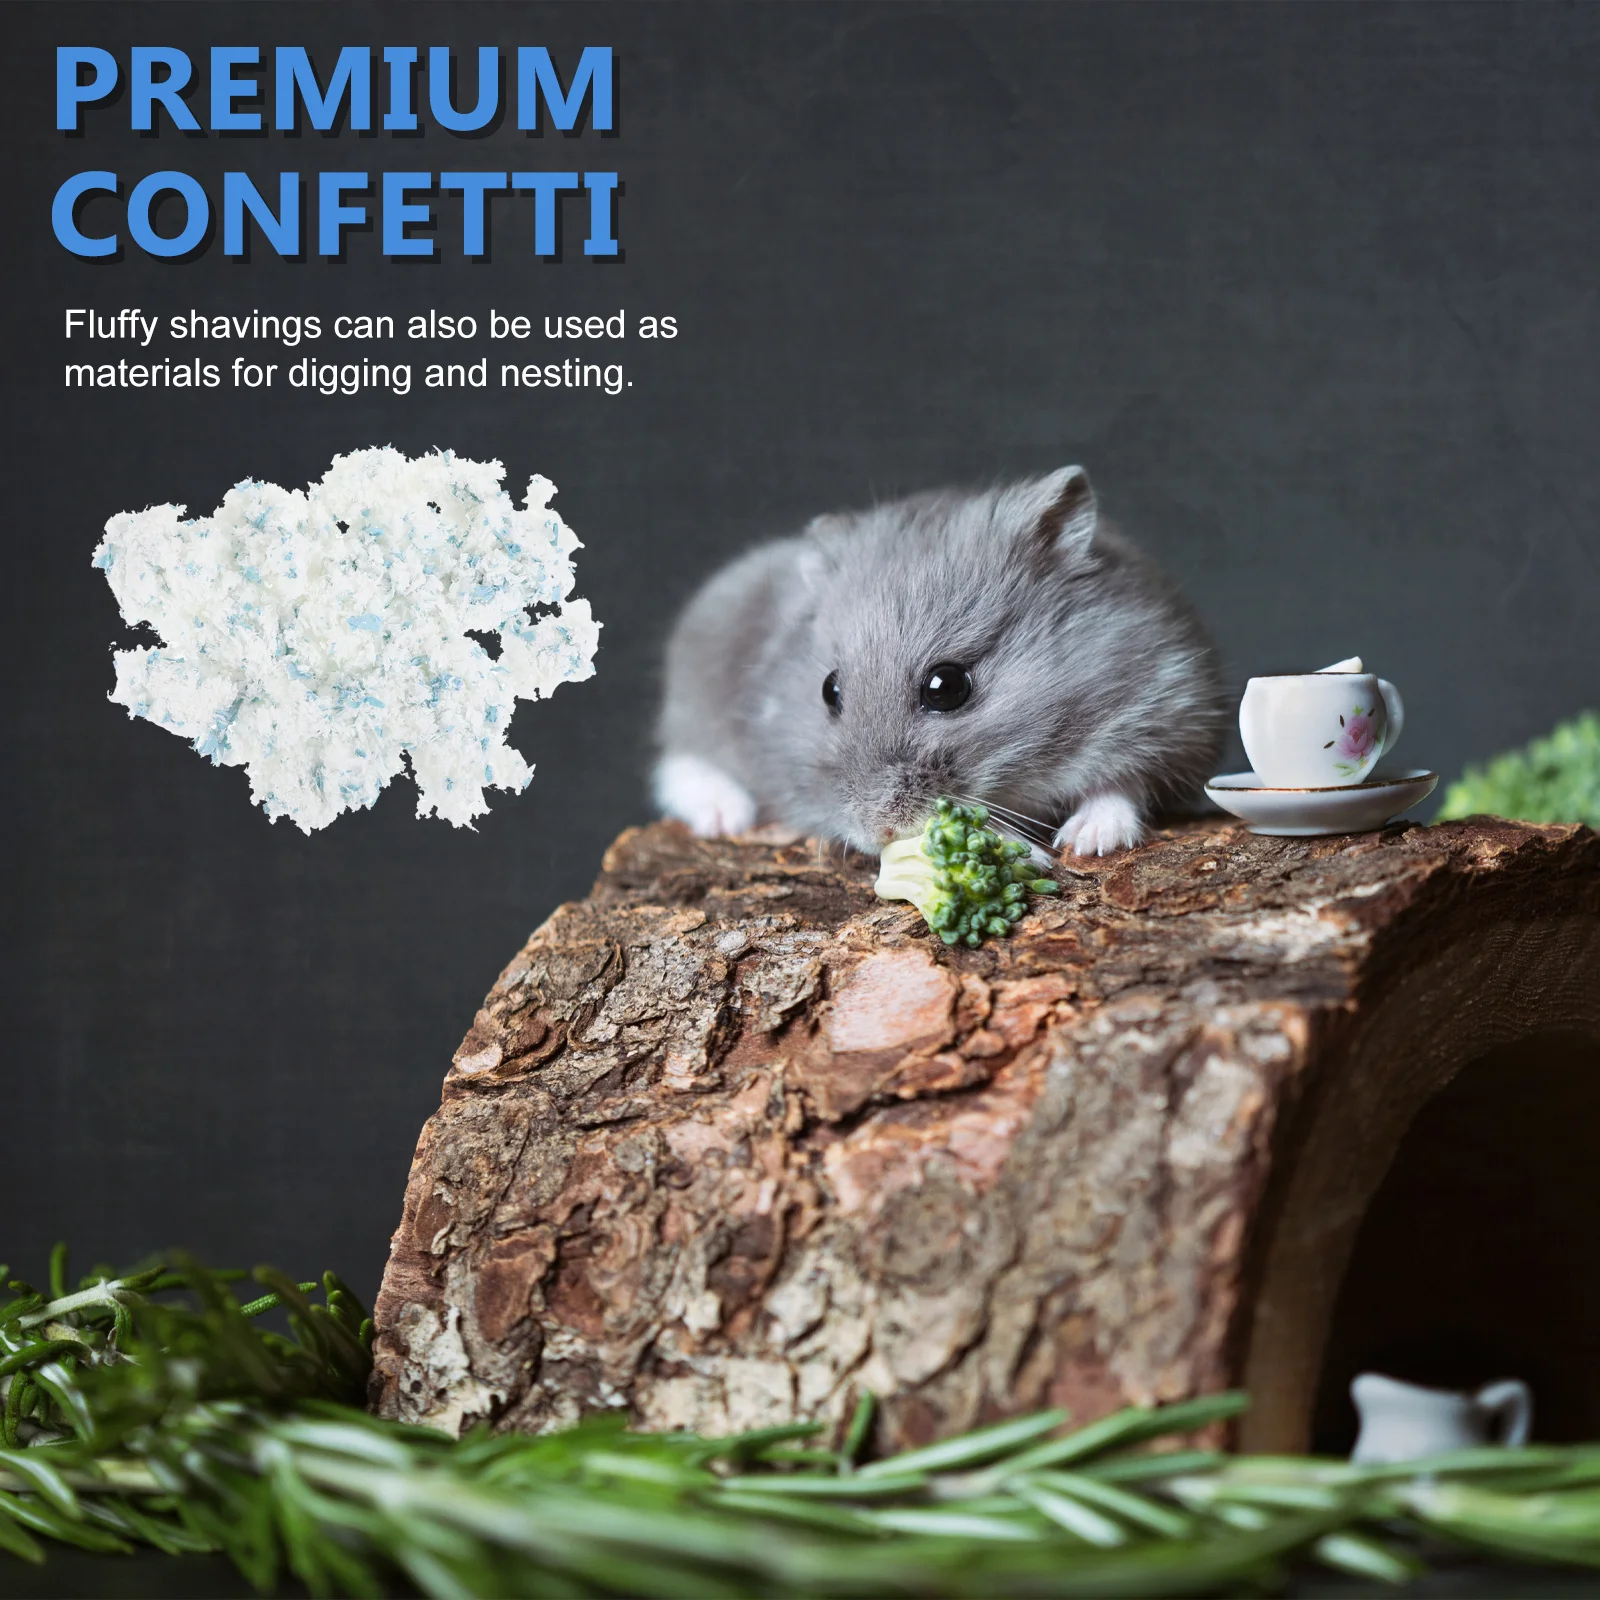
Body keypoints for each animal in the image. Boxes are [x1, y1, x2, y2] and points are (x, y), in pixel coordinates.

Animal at [653, 465, 1226, 857]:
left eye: (946, 686)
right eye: (828, 690)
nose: (877, 832)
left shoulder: (1170, 708)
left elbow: (1122, 785)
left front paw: (1085, 842)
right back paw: (726, 817)